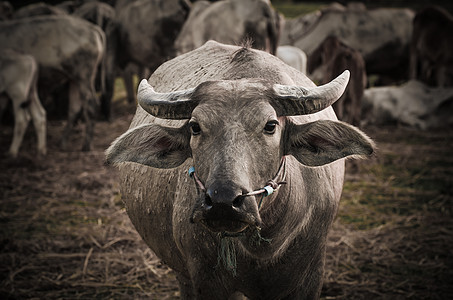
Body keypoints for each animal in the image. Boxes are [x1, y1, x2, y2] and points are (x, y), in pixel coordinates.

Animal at [0, 15, 105, 151]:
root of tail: (93, 28)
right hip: (74, 79)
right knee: (74, 108)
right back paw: (62, 142)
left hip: (84, 76)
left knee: (91, 105)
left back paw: (86, 145)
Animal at [105, 40, 374, 300]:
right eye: (195, 127)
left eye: (270, 125)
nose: (223, 201)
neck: (262, 248)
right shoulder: (206, 281)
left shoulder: (310, 277)